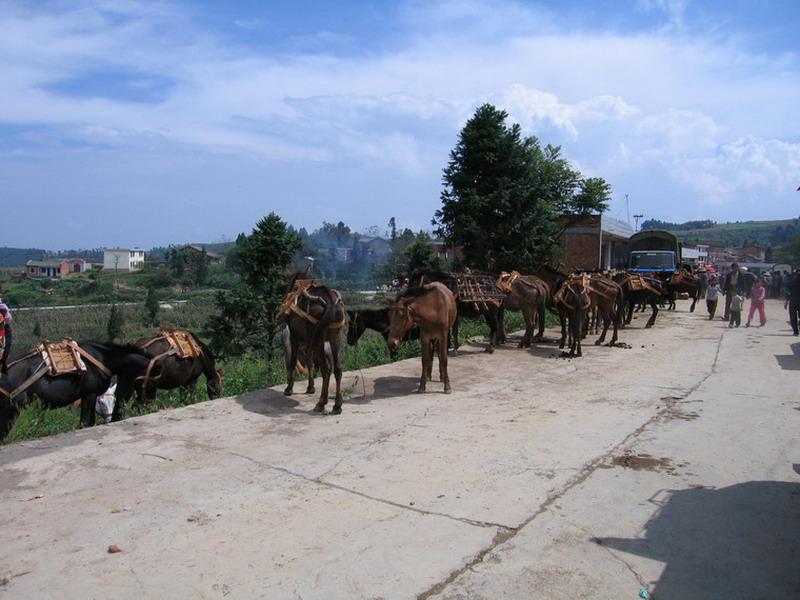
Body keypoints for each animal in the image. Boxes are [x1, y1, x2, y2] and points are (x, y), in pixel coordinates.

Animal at [0, 342, 155, 440]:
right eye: (150, 379)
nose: (149, 403)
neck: (102, 358)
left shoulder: (92, 396)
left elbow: (90, 422)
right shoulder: (89, 395)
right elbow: (84, 424)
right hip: (11, 411)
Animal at [282, 270, 344, 412]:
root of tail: (330, 303)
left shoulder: (295, 337)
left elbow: (293, 362)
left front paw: (289, 388)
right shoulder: (309, 341)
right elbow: (309, 362)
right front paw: (310, 387)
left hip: (319, 340)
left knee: (326, 369)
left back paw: (321, 403)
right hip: (335, 336)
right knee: (337, 368)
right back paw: (337, 405)